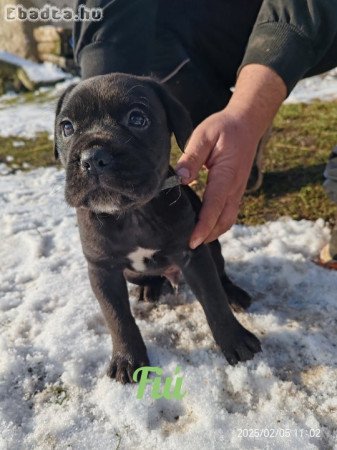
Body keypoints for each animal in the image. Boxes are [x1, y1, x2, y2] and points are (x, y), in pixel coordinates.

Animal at [54, 74, 260, 384]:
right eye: (67, 127)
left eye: (137, 118)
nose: (92, 157)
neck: (132, 213)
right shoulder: (102, 270)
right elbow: (117, 317)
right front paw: (127, 359)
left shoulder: (193, 253)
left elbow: (213, 299)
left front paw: (235, 340)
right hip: (132, 274)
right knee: (152, 279)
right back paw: (150, 290)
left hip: (213, 247)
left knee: (221, 275)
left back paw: (234, 294)